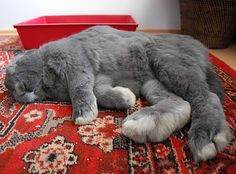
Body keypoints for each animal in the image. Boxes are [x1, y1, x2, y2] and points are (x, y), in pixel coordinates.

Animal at [4, 25, 231, 162]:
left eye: (18, 85)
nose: (24, 98)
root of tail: (203, 52)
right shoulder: (99, 80)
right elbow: (99, 92)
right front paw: (126, 97)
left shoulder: (76, 63)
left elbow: (80, 88)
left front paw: (83, 116)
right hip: (152, 82)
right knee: (182, 104)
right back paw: (142, 123)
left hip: (170, 64)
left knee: (205, 97)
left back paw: (206, 139)